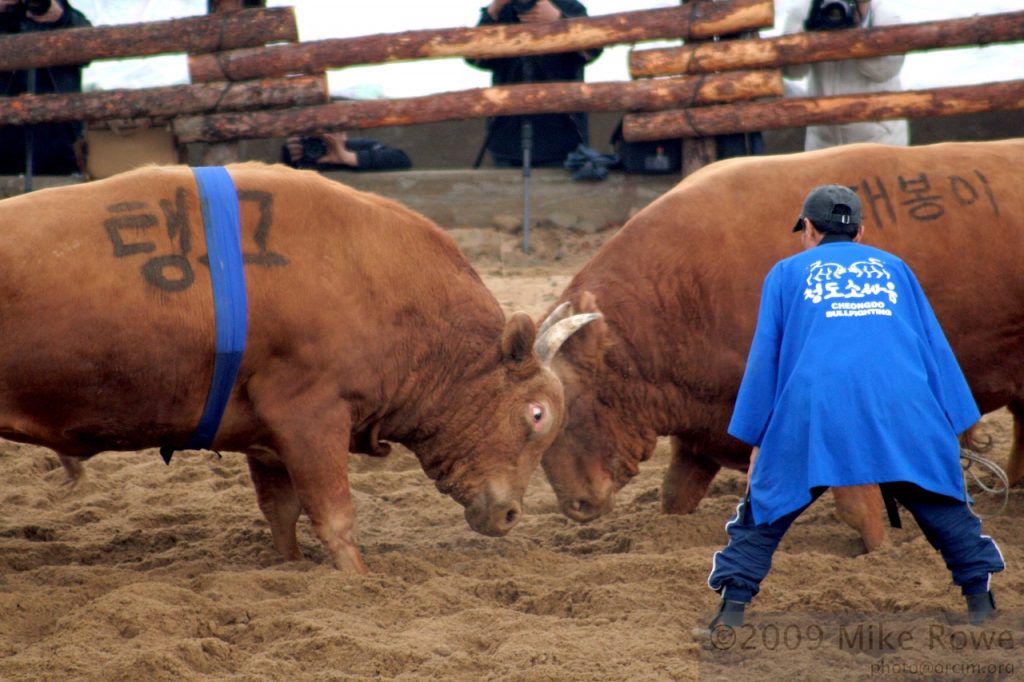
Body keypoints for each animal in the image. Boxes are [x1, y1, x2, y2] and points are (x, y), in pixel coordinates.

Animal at [0, 161, 598, 569]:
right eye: (537, 414)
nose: (510, 514)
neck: (379, 284)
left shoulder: (264, 435)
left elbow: (281, 514)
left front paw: (291, 569)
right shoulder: (310, 415)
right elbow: (335, 518)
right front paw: (360, 581)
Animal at [540, 139, 1019, 548]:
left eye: (568, 409)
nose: (576, 505)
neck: (685, 292)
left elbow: (855, 502)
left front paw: (881, 550)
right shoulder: (701, 432)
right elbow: (675, 496)